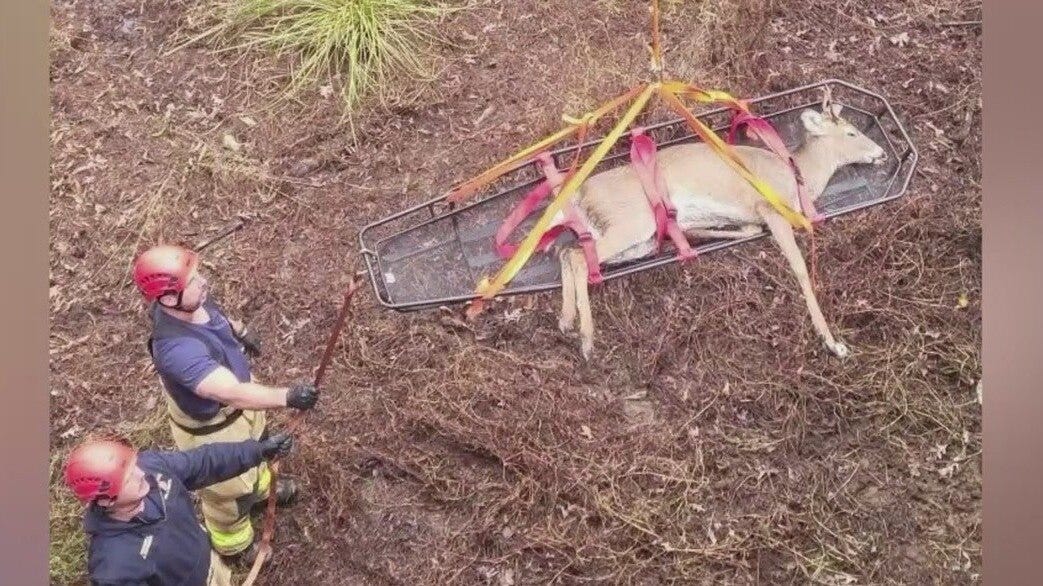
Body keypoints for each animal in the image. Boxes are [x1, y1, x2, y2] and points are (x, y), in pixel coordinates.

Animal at [541, 96, 888, 360]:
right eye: (851, 132)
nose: (882, 152)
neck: (798, 176)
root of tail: (580, 192)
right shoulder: (770, 208)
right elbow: (800, 268)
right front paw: (833, 342)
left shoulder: (751, 217)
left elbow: (745, 230)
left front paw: (695, 232)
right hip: (631, 222)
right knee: (579, 259)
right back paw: (586, 339)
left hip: (634, 239)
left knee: (569, 251)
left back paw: (566, 320)